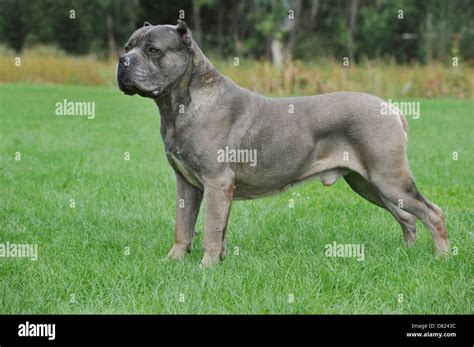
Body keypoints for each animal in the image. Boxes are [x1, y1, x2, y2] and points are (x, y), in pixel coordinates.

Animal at [116, 20, 450, 268]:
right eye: (127, 47)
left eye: (153, 50)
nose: (122, 61)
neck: (180, 103)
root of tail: (392, 109)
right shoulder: (187, 183)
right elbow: (184, 225)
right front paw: (173, 261)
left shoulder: (216, 182)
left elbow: (211, 229)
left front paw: (206, 267)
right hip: (368, 183)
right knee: (407, 216)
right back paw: (408, 253)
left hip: (388, 177)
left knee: (432, 212)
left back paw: (442, 256)